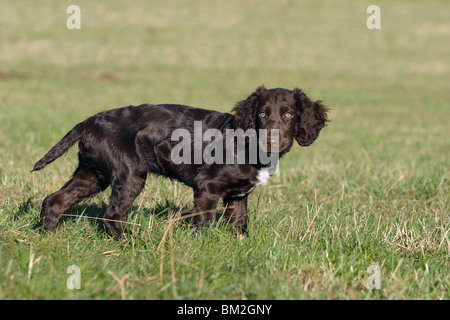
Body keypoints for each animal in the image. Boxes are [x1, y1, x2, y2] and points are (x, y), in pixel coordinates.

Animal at [30, 86, 326, 236]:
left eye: (288, 115)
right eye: (262, 114)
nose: (271, 141)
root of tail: (90, 120)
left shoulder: (238, 196)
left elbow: (240, 226)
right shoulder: (207, 187)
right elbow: (203, 224)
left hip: (92, 174)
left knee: (54, 201)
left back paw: (49, 238)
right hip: (129, 174)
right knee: (112, 216)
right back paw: (133, 243)